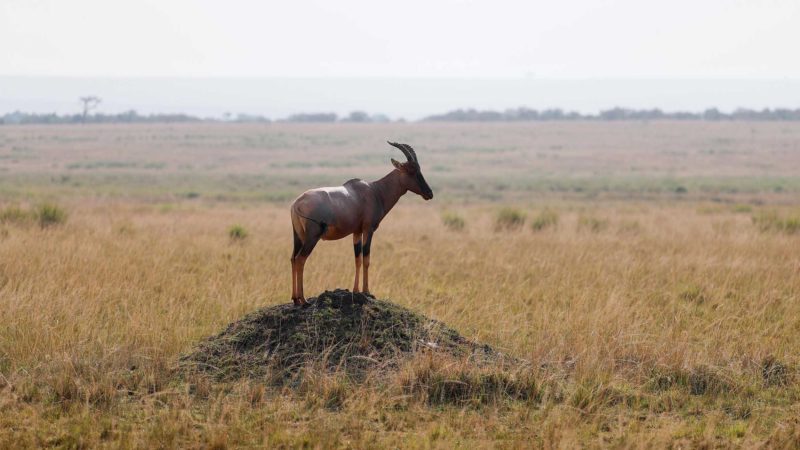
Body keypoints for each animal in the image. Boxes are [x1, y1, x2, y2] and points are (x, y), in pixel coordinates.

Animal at [290, 141, 434, 304]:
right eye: (411, 170)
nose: (429, 193)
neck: (374, 191)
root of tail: (296, 203)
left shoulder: (357, 232)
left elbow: (357, 259)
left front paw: (356, 290)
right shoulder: (368, 229)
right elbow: (366, 259)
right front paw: (367, 291)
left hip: (298, 236)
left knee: (293, 258)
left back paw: (295, 299)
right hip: (312, 237)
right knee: (301, 259)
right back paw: (303, 300)